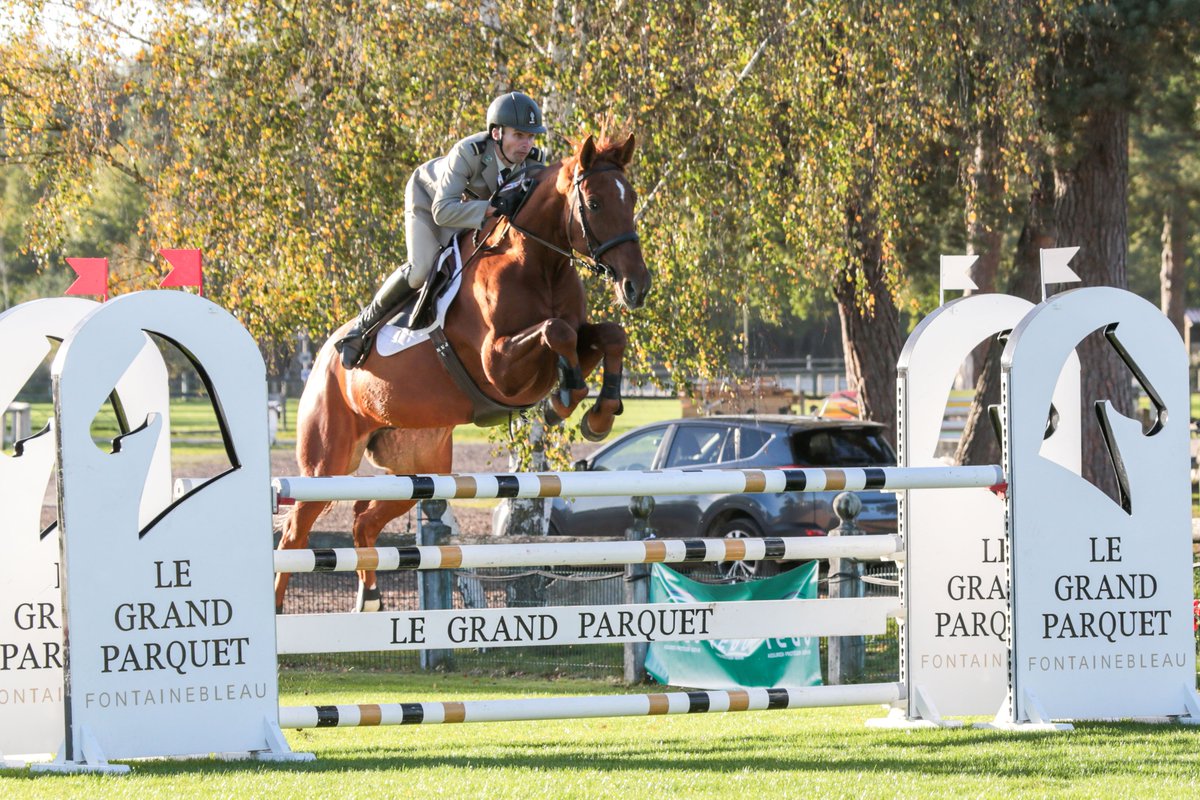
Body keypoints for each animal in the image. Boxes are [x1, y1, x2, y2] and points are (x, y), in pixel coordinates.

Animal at [276, 136, 652, 614]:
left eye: (633, 199)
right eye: (596, 202)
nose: (637, 286)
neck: (538, 263)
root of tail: (322, 357)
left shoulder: (559, 349)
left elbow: (609, 336)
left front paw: (595, 413)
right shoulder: (498, 366)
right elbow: (557, 331)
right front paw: (566, 398)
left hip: (418, 469)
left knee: (364, 520)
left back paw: (371, 600)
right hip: (326, 464)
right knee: (294, 535)